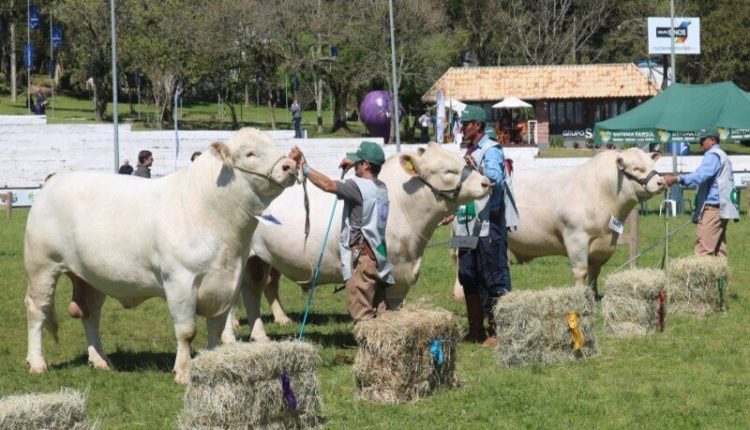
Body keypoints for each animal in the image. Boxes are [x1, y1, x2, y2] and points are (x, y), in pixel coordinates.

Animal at [23, 127, 300, 382]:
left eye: (274, 145)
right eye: (250, 153)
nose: (290, 165)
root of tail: (54, 180)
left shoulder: (226, 282)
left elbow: (216, 329)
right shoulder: (180, 279)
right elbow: (187, 331)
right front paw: (183, 372)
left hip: (90, 275)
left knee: (89, 312)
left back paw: (100, 361)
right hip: (42, 266)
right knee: (37, 310)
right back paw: (37, 363)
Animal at [223, 143, 494, 340]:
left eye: (463, 161)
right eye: (448, 171)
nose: (486, 183)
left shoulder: (402, 277)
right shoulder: (391, 273)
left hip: (258, 260)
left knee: (253, 291)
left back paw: (262, 335)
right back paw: (231, 336)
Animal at [450, 147, 668, 298]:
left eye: (653, 167)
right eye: (637, 168)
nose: (662, 182)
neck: (602, 191)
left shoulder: (604, 243)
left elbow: (595, 271)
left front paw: (594, 295)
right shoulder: (576, 237)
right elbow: (581, 271)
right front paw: (580, 296)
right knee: (460, 259)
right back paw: (460, 292)